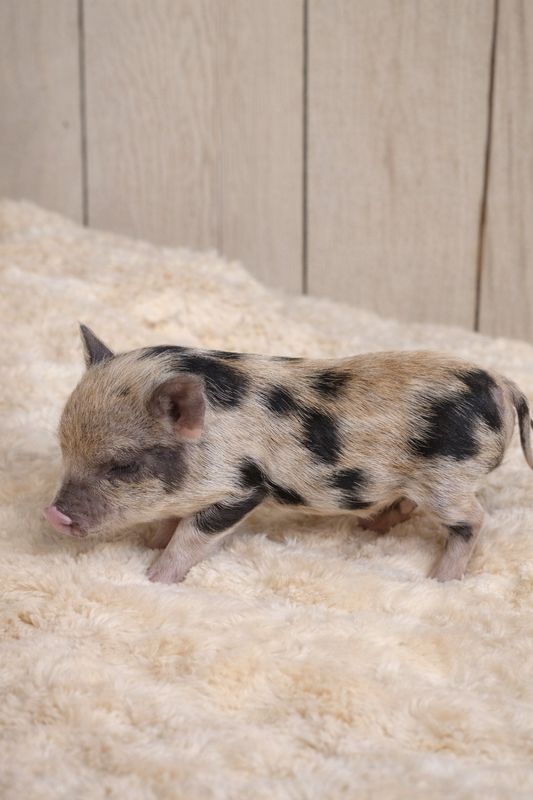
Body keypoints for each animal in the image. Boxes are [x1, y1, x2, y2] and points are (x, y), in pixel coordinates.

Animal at [43, 325, 533, 584]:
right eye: (64, 448)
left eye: (123, 464)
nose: (52, 514)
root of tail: (502, 384)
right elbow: (171, 521)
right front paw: (150, 542)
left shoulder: (242, 488)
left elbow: (191, 535)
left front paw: (154, 577)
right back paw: (369, 526)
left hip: (448, 479)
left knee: (473, 520)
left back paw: (438, 580)